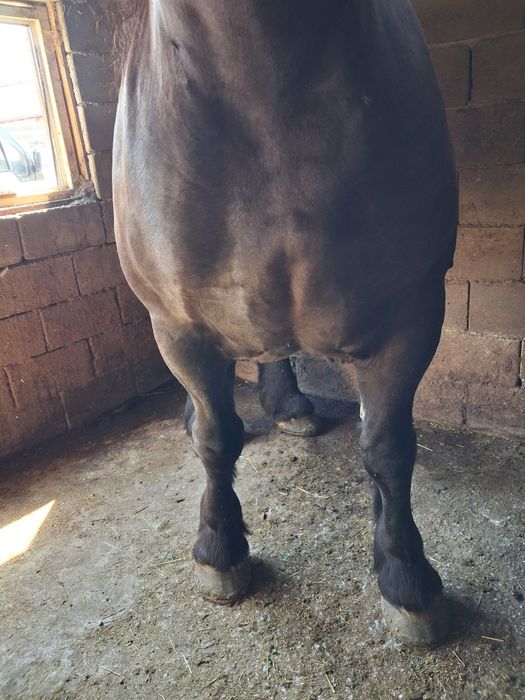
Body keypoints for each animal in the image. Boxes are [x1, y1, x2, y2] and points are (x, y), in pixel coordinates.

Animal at [113, 0, 457, 646]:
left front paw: (405, 575)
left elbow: (388, 448)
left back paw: (291, 405)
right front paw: (219, 548)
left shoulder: (412, 317)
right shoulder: (177, 323)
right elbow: (215, 437)